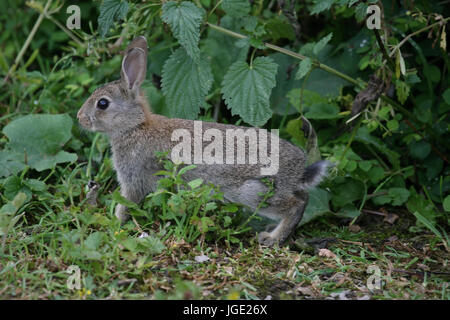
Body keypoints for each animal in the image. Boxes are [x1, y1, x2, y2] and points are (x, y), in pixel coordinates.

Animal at [77, 37, 330, 248]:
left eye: (102, 104)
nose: (80, 118)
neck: (135, 126)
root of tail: (299, 168)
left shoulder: (133, 181)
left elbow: (125, 204)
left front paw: (114, 224)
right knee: (303, 198)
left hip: (254, 191)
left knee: (296, 205)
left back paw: (272, 238)